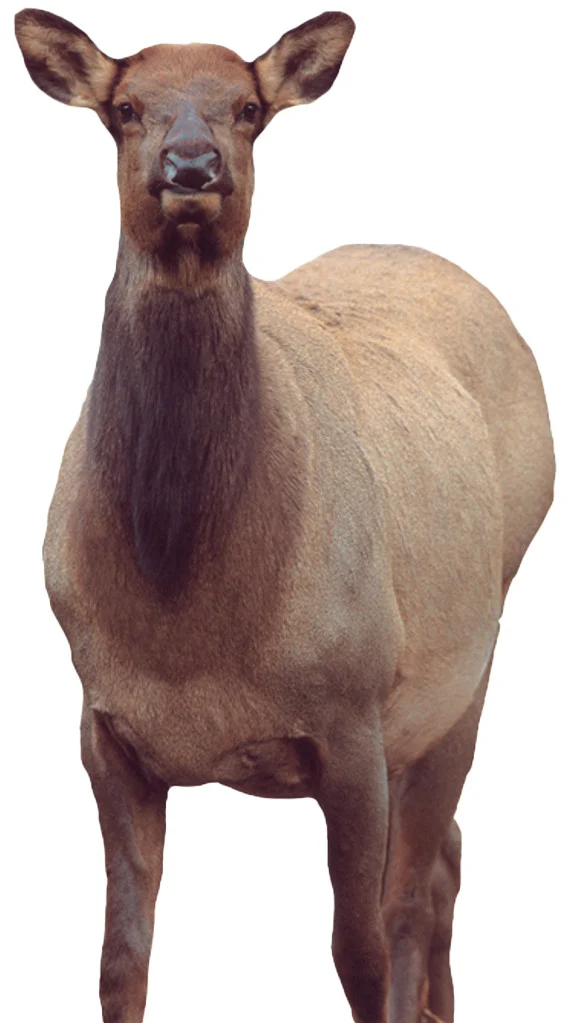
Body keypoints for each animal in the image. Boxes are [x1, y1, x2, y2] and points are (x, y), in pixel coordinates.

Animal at [14, 8, 554, 1023]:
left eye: (250, 108)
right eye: (124, 108)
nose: (192, 167)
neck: (188, 628)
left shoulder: (352, 716)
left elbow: (360, 951)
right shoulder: (104, 726)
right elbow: (118, 961)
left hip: (464, 669)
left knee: (417, 887)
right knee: (450, 855)